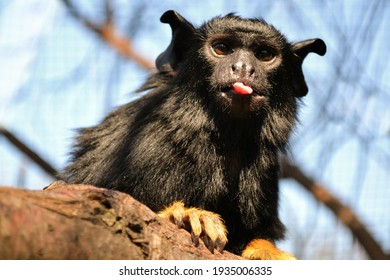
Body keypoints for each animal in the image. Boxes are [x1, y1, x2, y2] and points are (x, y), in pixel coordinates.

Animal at [63, 10, 326, 260]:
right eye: (221, 49)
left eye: (264, 54)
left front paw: (263, 249)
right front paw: (187, 217)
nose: (243, 68)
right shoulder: (148, 143)